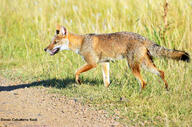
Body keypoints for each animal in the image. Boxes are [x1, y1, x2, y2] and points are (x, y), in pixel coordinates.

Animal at [44, 25, 190, 90]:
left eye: (55, 42)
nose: (45, 49)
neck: (82, 42)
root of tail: (143, 37)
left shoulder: (92, 63)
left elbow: (76, 71)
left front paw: (78, 81)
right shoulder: (104, 63)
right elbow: (106, 80)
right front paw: (106, 90)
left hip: (133, 66)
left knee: (144, 82)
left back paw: (140, 93)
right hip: (146, 64)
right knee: (161, 72)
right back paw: (166, 88)